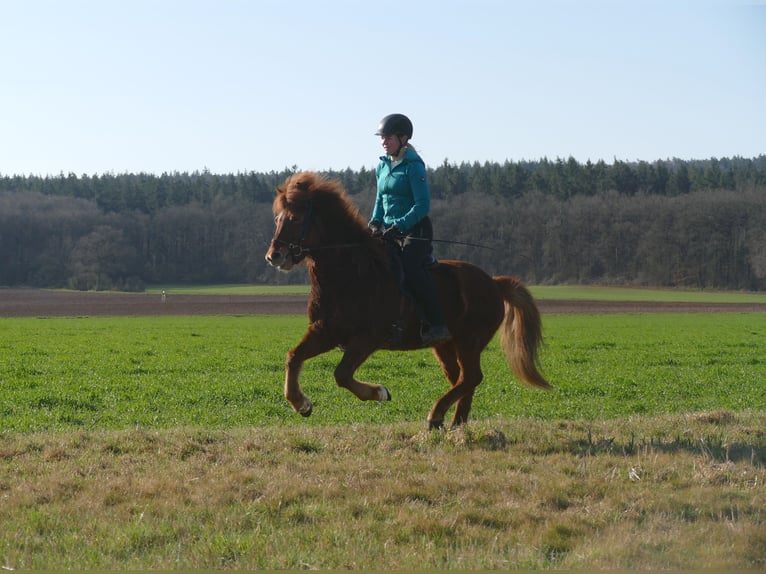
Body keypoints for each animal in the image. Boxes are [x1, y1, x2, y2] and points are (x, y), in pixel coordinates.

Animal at [264, 171, 551, 429]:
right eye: (277, 218)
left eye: (296, 218)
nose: (274, 256)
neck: (351, 273)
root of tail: (493, 282)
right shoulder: (325, 332)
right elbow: (293, 357)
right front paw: (301, 403)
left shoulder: (367, 338)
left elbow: (342, 374)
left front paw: (380, 392)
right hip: (446, 345)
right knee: (462, 379)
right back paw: (455, 423)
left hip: (469, 341)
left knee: (472, 377)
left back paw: (437, 415)